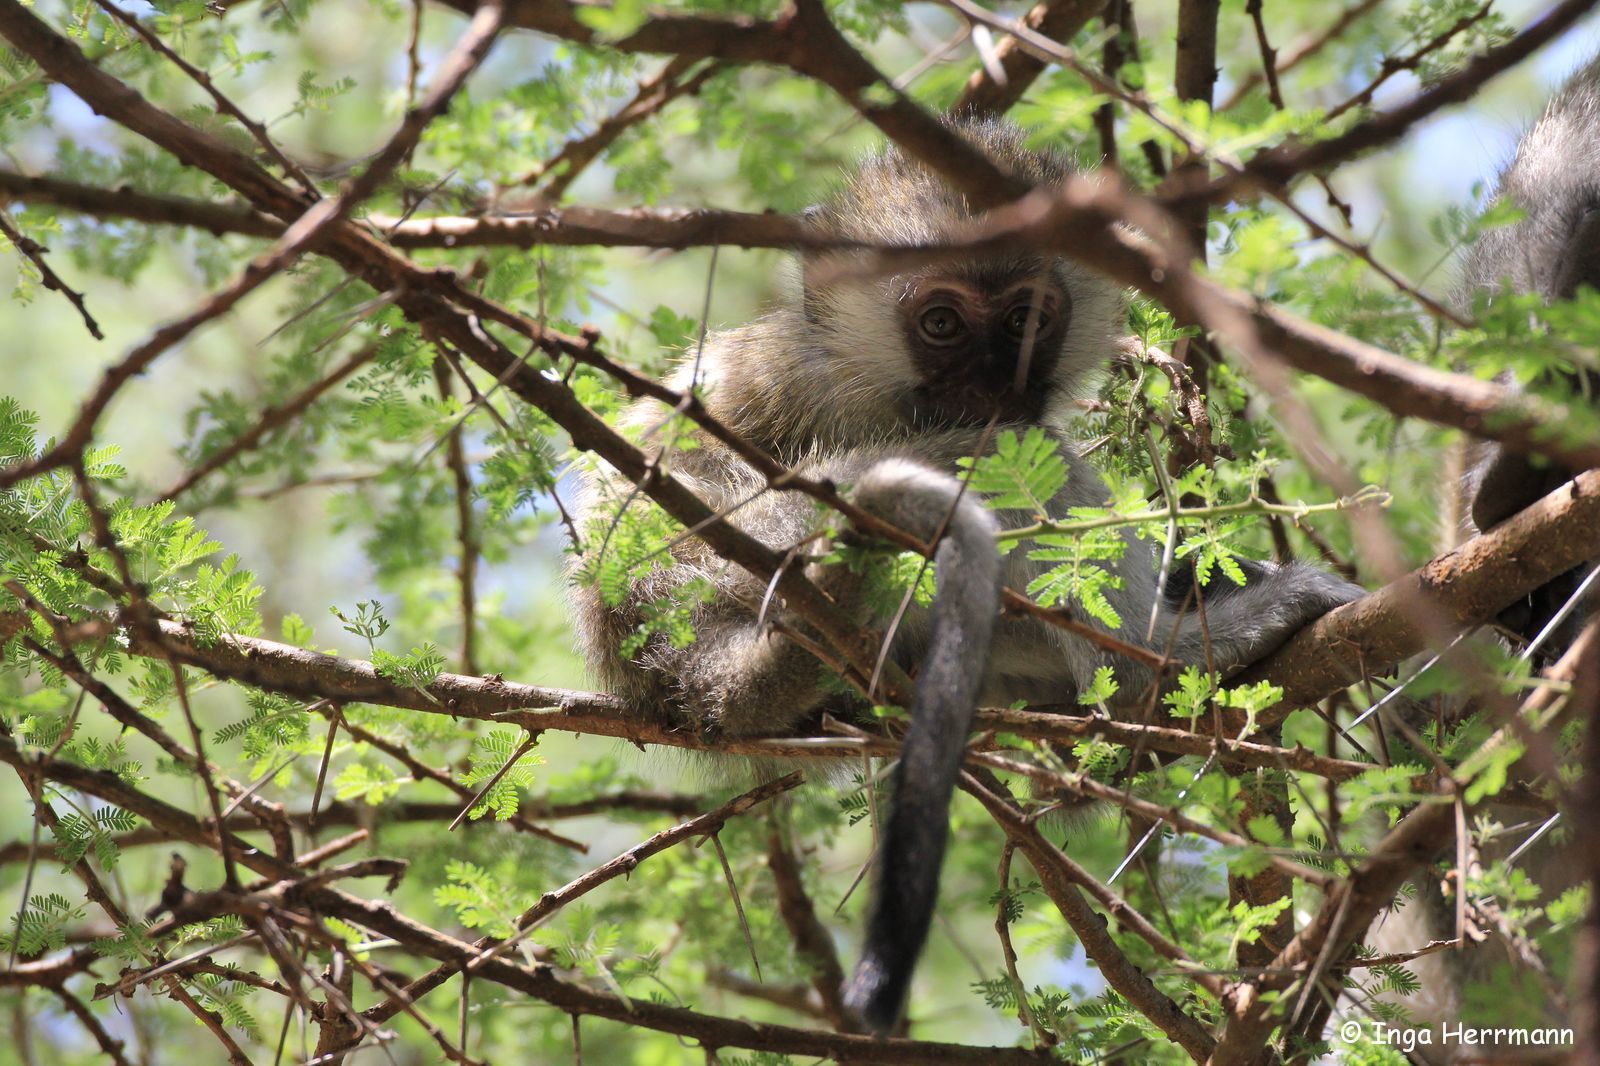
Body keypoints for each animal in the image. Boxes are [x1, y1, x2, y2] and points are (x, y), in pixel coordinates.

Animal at [569, 120, 1356, 1030]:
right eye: (941, 322)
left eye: (1027, 320)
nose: (994, 388)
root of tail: (681, 675)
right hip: (757, 562)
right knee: (1020, 467)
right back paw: (1162, 664)